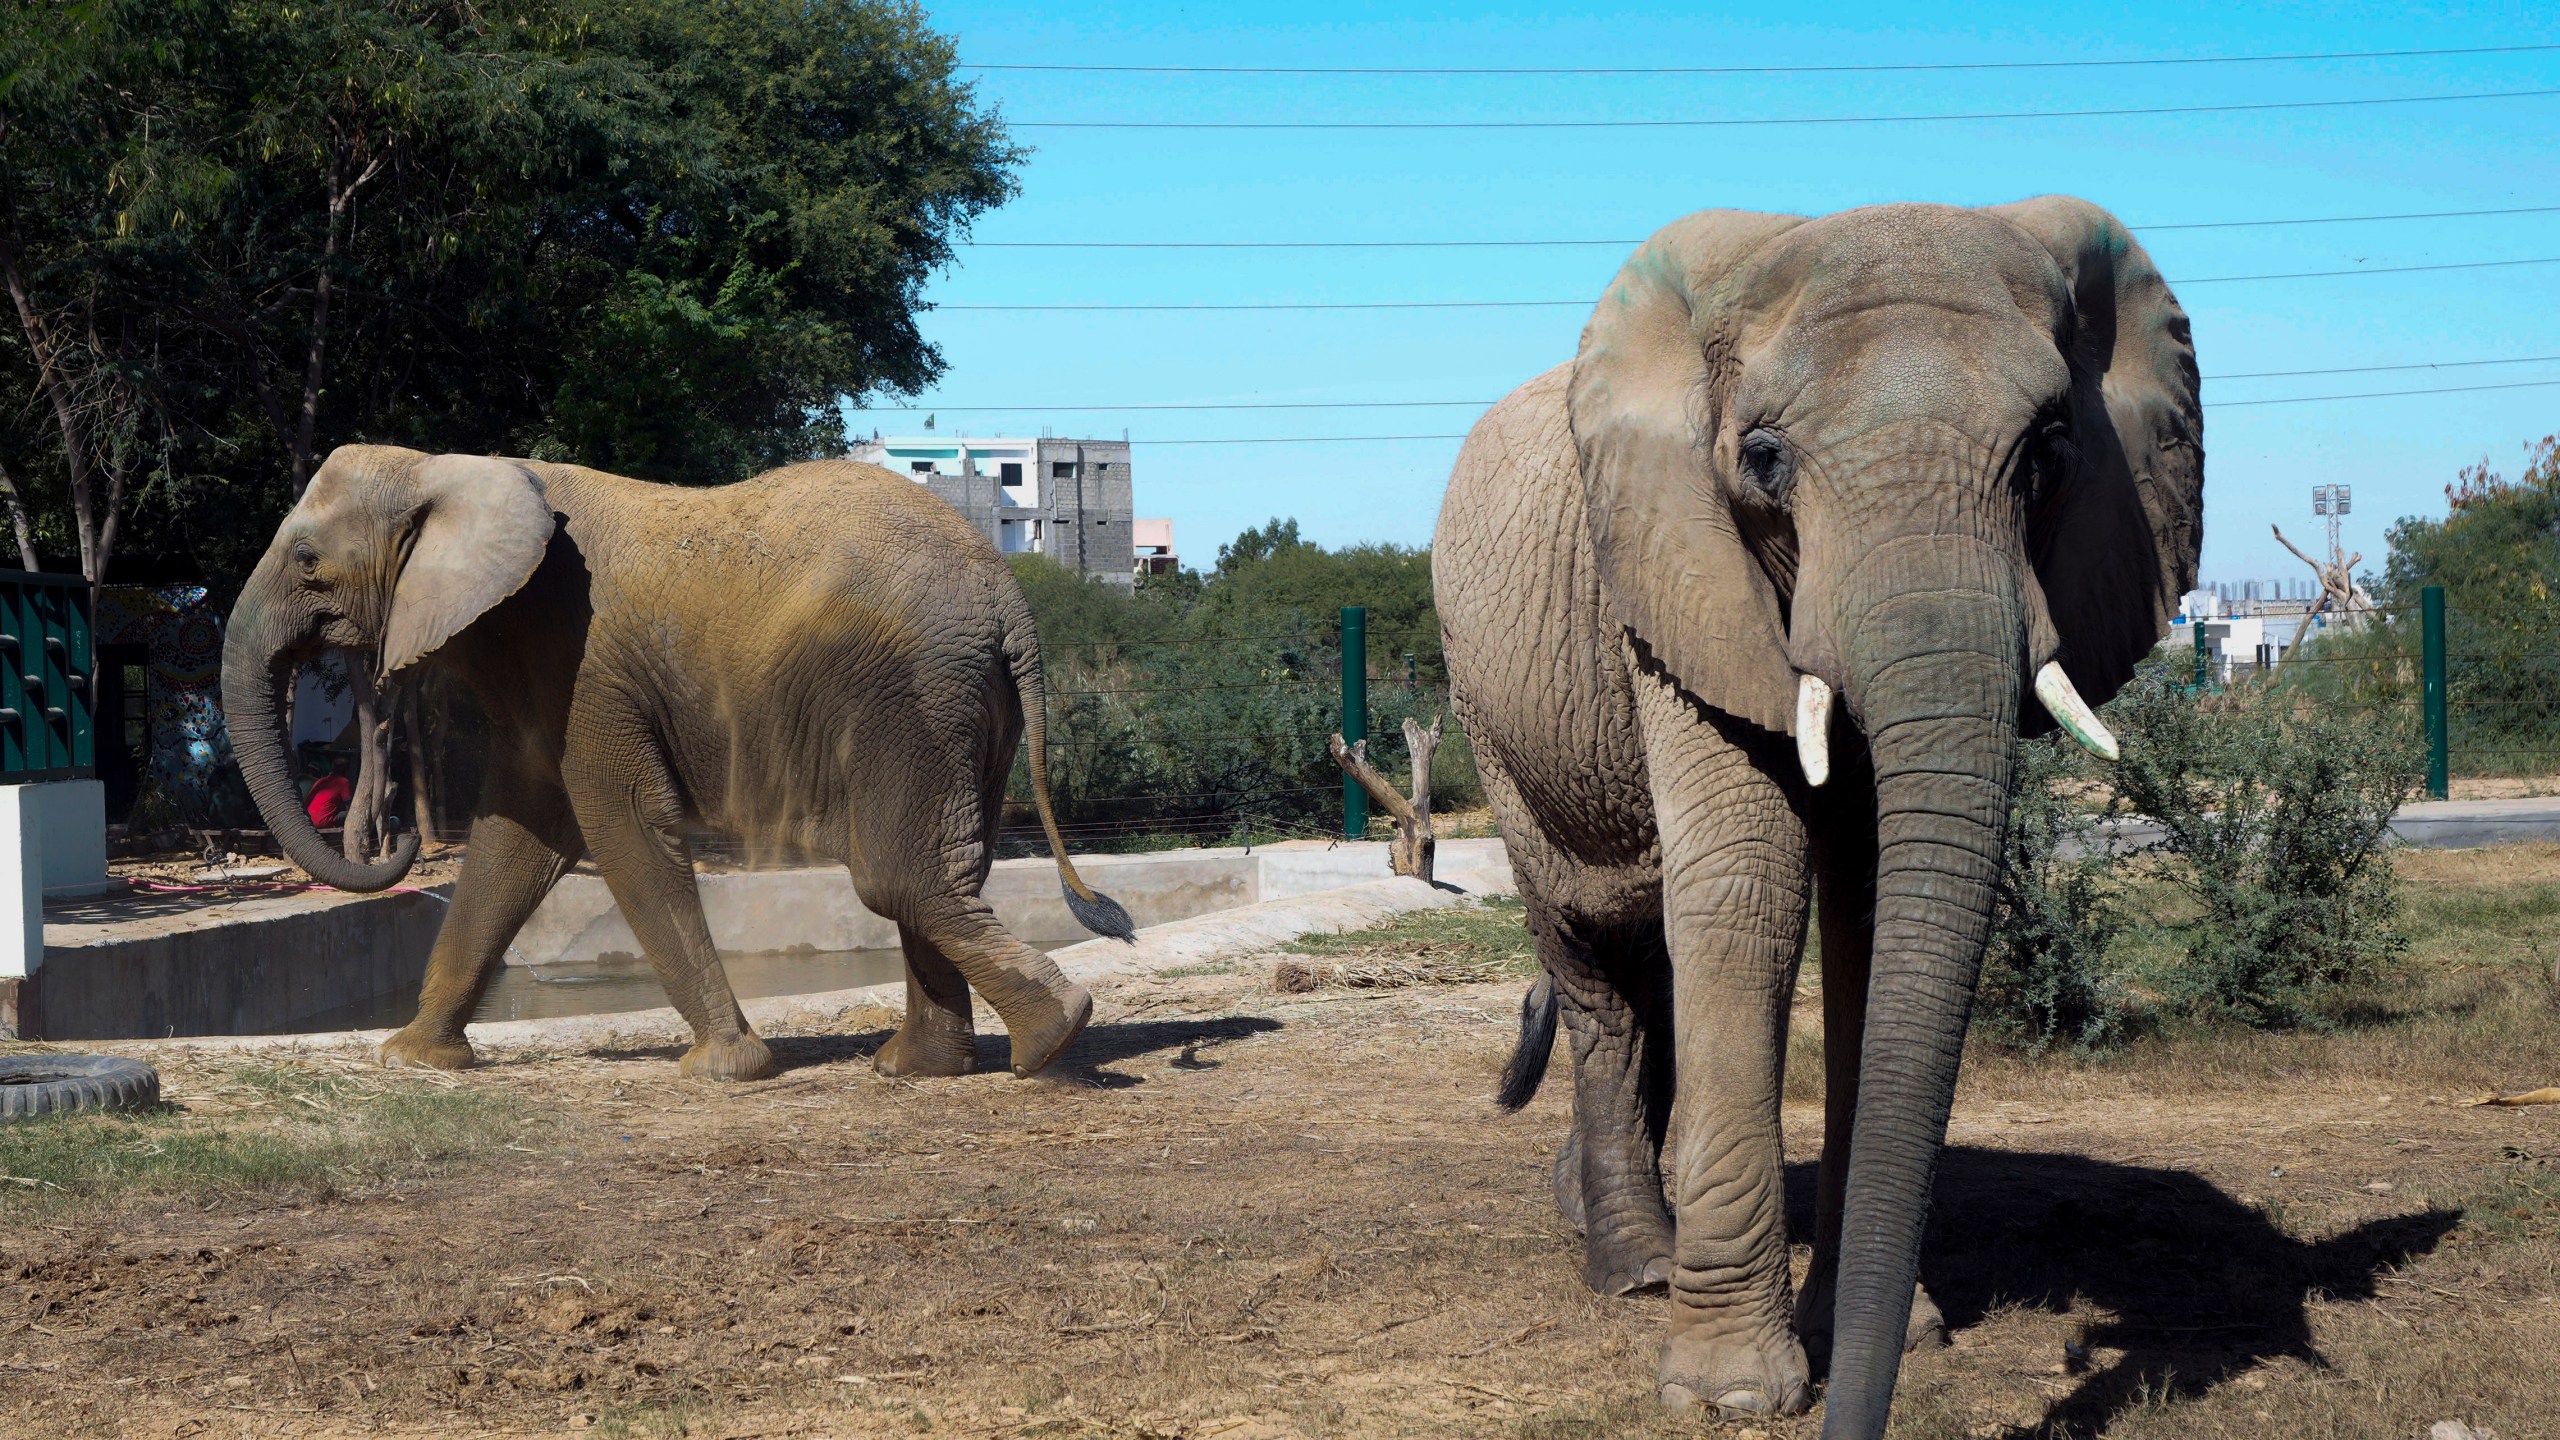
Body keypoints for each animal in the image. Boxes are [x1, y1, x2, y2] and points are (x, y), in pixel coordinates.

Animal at [222, 448, 1131, 1076]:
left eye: (306, 560)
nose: (399, 838)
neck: (445, 464)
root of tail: (1010, 600)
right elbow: (517, 839)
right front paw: (413, 1058)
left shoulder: (585, 663)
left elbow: (620, 824)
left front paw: (725, 1069)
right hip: (962, 702)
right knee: (935, 871)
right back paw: (924, 1067)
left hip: (913, 692)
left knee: (897, 875)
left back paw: (1053, 1038)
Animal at [1443, 202, 2201, 1434]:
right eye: (1763, 459)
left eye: (2048, 452)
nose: (1858, 1413)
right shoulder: (1676, 583)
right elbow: (1746, 884)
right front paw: (1734, 1393)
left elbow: (1870, 904)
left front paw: (1894, 1333)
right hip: (1496, 723)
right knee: (1595, 958)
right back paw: (1634, 1265)